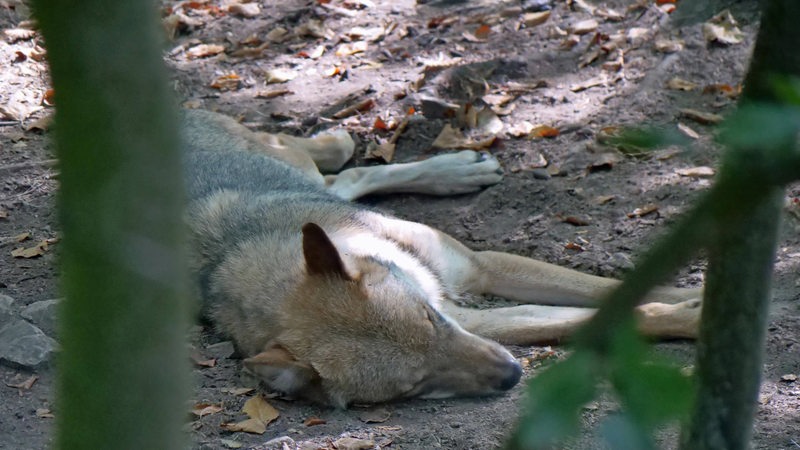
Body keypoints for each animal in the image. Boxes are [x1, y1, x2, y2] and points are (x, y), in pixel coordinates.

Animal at [181, 109, 700, 408]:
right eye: (413, 386)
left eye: (430, 319)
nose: (513, 374)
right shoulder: (481, 320)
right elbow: (615, 312)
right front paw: (692, 315)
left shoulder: (478, 267)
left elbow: (616, 288)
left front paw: (700, 293)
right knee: (344, 179)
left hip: (287, 160)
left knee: (325, 165)